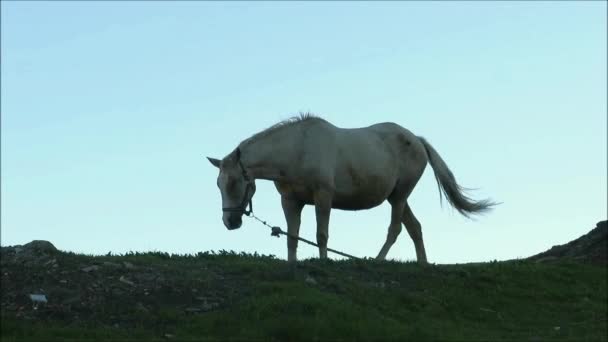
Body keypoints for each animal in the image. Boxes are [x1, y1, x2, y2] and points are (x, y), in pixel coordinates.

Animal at [207, 113, 496, 264]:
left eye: (234, 182)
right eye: (219, 184)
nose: (230, 222)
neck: (297, 150)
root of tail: (416, 140)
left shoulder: (323, 196)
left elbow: (321, 234)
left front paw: (323, 262)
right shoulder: (290, 201)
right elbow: (292, 236)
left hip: (400, 196)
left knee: (395, 229)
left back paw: (377, 260)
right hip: (396, 198)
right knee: (414, 228)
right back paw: (422, 265)